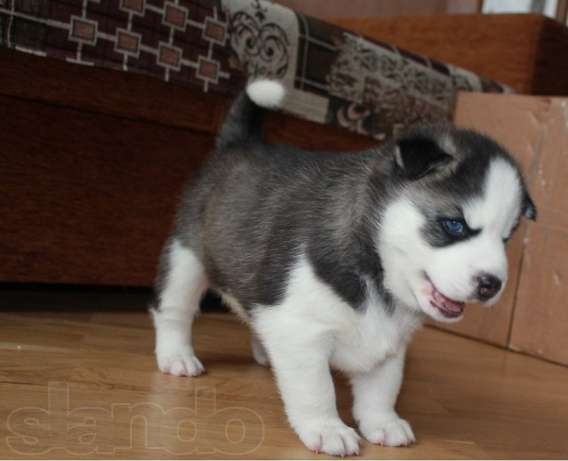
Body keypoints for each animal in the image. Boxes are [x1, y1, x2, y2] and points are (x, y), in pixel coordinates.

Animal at [150, 81, 532, 454]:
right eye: (454, 225)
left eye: (507, 238)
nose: (492, 283)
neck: (376, 269)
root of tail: (238, 144)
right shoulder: (301, 330)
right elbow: (316, 388)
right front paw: (326, 427)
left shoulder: (390, 344)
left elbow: (384, 386)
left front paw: (382, 422)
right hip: (186, 259)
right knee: (173, 310)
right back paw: (176, 355)